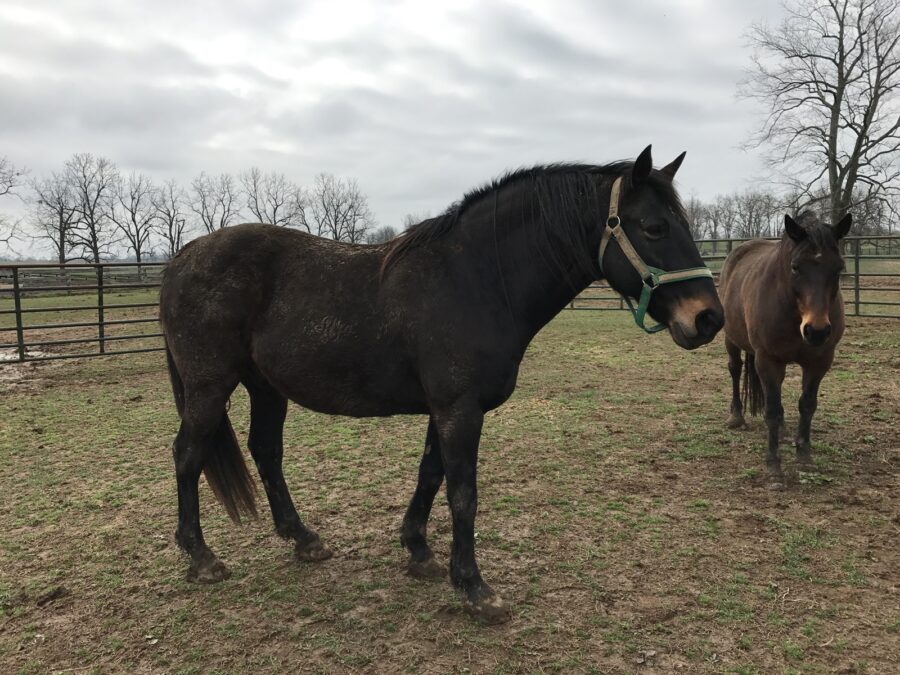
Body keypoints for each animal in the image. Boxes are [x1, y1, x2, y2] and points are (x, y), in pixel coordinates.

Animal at [160, 147, 724, 624]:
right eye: (653, 227)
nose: (709, 318)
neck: (473, 279)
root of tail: (183, 256)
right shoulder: (459, 409)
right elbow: (463, 493)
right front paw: (475, 588)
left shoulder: (446, 408)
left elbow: (430, 476)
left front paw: (419, 552)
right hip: (210, 385)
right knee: (188, 455)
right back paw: (201, 557)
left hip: (265, 387)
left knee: (266, 451)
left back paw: (303, 539)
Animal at [716, 211, 852, 486]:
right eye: (795, 267)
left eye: (839, 268)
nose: (817, 331)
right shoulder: (768, 360)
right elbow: (772, 410)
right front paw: (774, 466)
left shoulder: (819, 361)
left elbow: (807, 405)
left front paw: (804, 456)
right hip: (732, 340)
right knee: (735, 369)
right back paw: (736, 416)